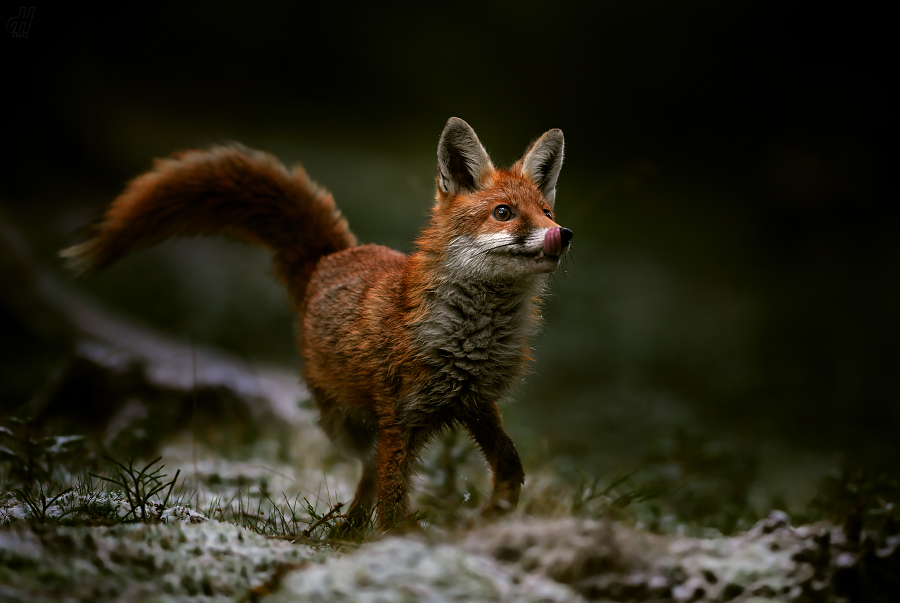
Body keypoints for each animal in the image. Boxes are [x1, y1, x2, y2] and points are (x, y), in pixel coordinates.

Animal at [61, 117, 568, 528]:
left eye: (546, 211)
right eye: (503, 213)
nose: (561, 235)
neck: (471, 336)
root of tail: (330, 256)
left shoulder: (476, 401)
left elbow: (509, 465)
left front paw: (497, 513)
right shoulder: (397, 417)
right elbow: (392, 499)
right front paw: (396, 541)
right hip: (345, 423)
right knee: (368, 472)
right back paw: (347, 529)